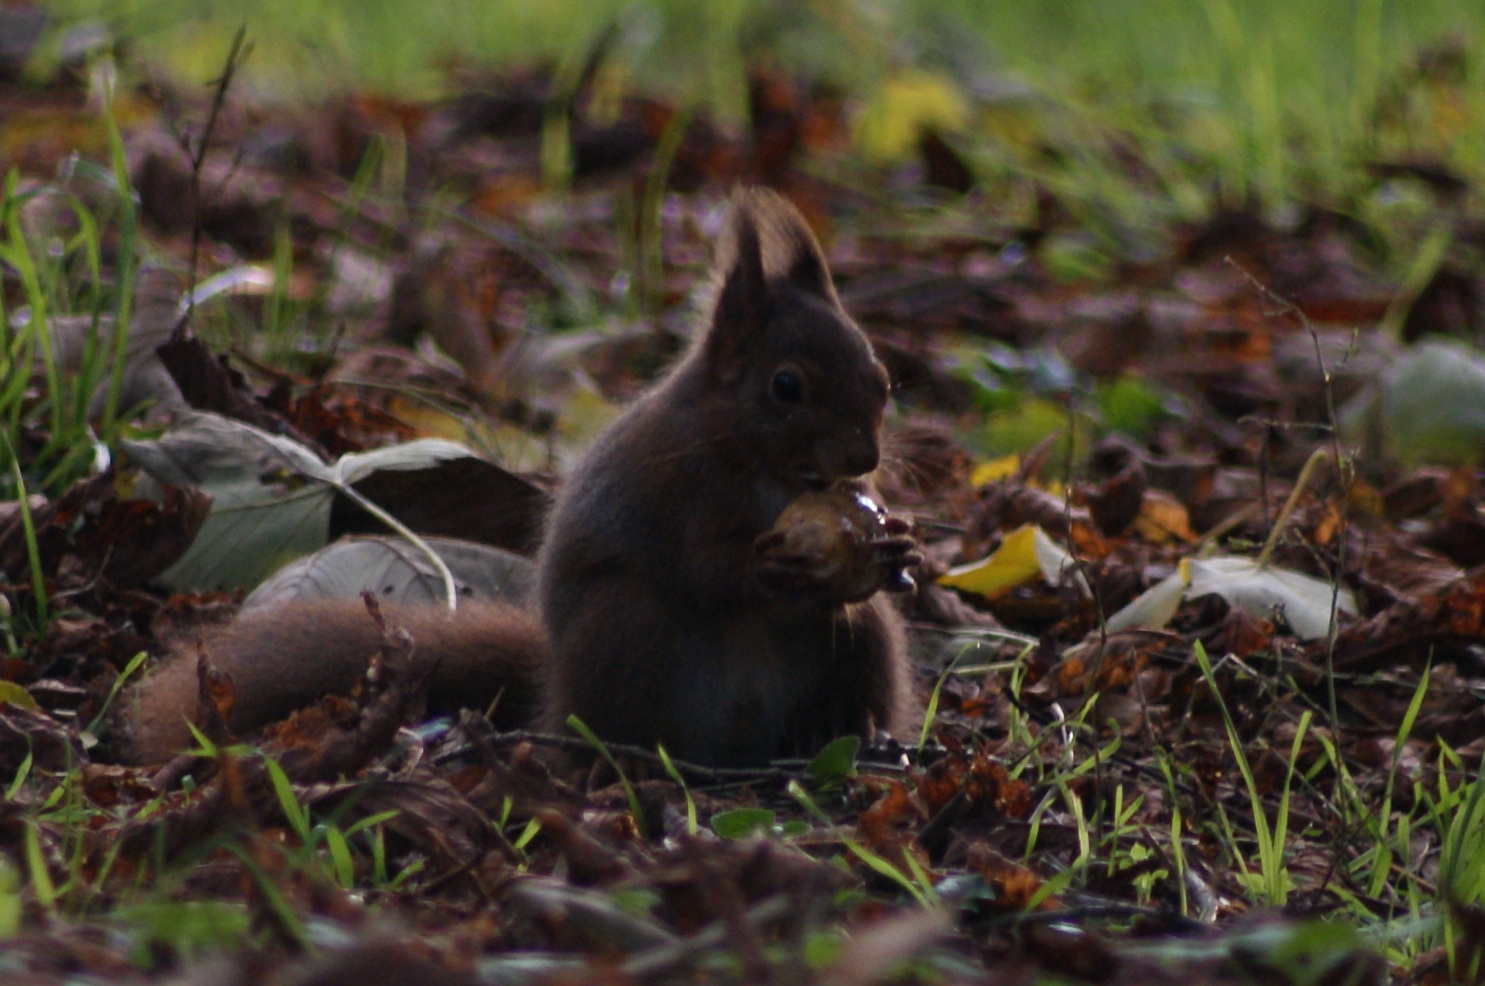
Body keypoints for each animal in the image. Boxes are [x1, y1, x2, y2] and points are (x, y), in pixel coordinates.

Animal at [124, 188, 914, 766]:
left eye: (881, 378)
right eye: (786, 387)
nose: (862, 459)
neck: (762, 465)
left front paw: (899, 547)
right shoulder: (676, 488)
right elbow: (699, 567)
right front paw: (766, 566)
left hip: (864, 650)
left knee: (857, 644)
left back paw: (837, 737)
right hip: (625, 628)